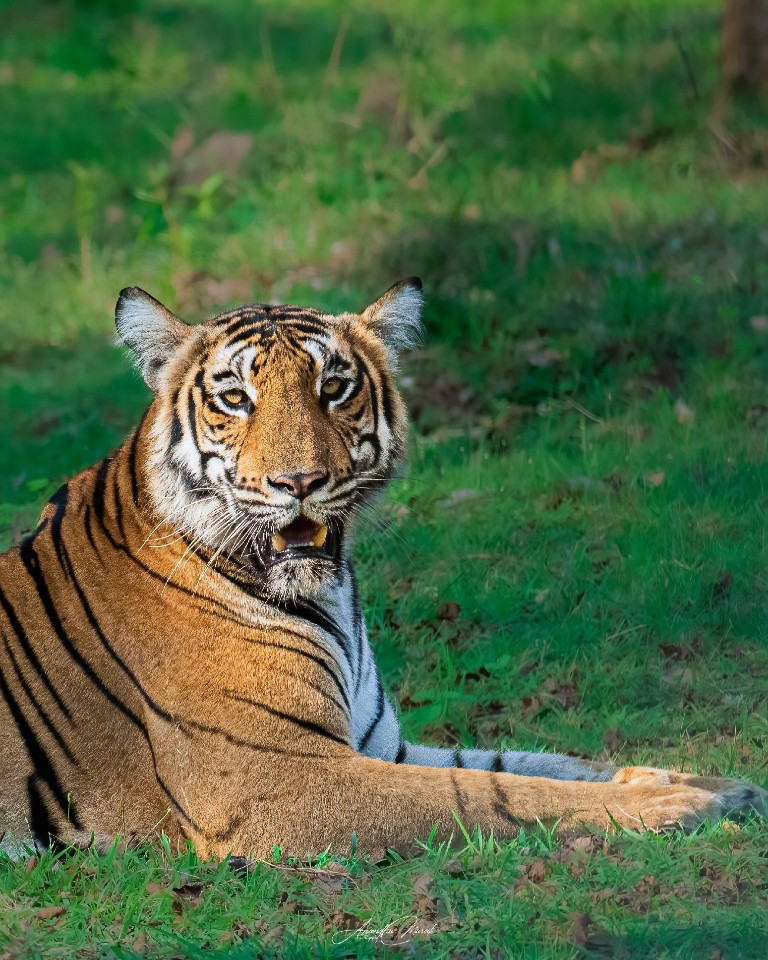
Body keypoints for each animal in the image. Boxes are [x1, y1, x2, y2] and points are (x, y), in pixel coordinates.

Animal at [0, 278, 764, 860]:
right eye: (235, 398)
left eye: (334, 388)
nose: (299, 482)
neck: (330, 595)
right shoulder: (271, 780)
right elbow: (492, 791)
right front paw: (674, 808)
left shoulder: (380, 743)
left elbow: (541, 761)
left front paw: (717, 786)